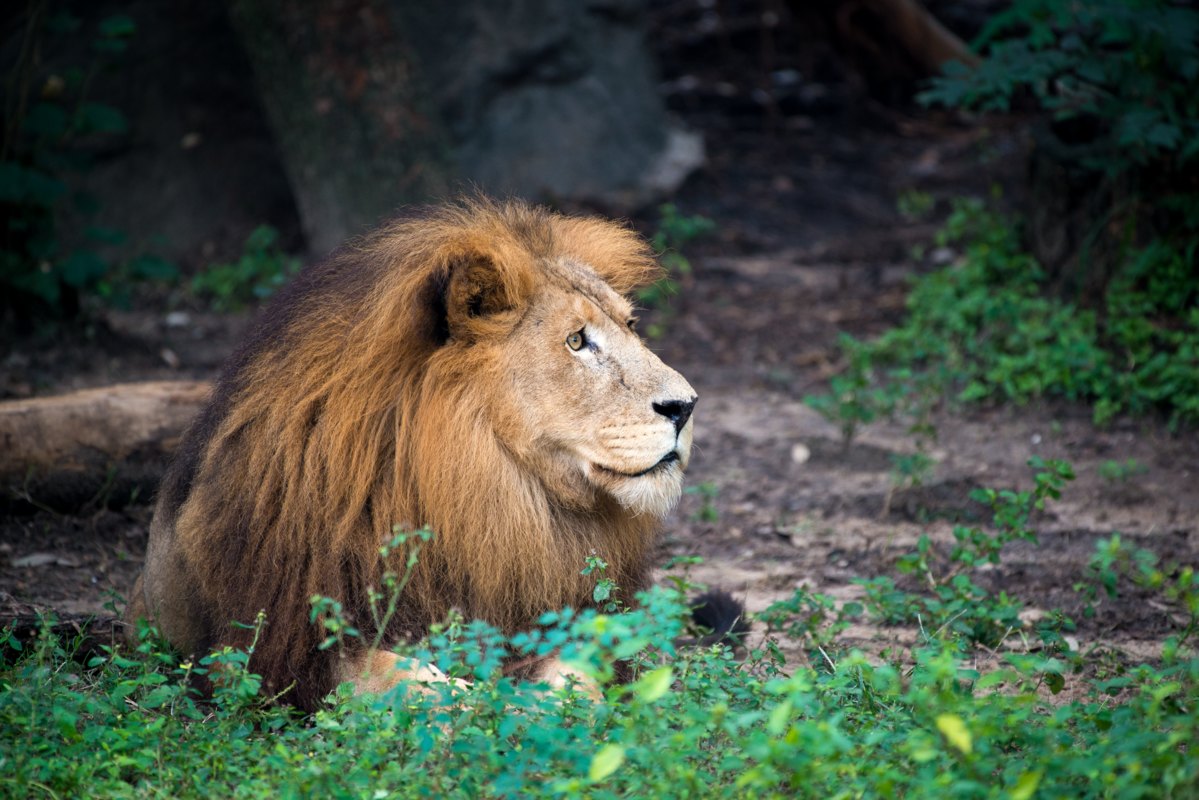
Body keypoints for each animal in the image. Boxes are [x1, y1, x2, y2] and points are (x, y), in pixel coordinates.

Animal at [128, 196, 719, 710]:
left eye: (631, 326)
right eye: (576, 341)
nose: (686, 406)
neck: (487, 491)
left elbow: (578, 673)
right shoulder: (278, 650)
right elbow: (409, 684)